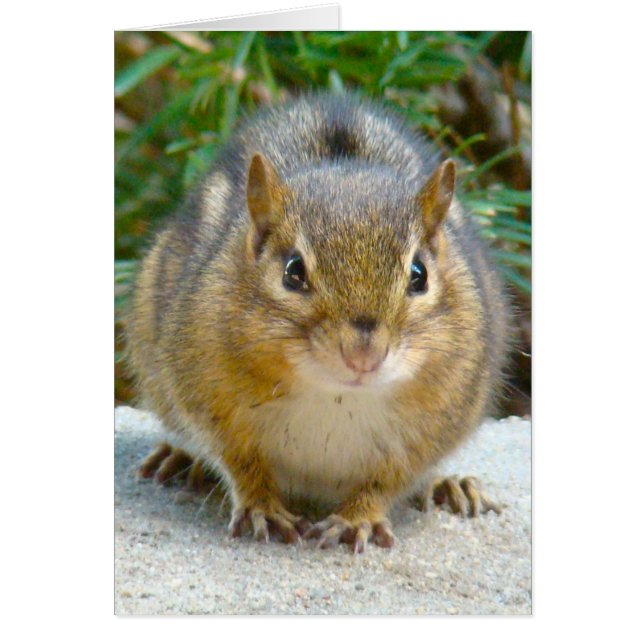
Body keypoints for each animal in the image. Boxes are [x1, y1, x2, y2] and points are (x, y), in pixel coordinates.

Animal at [126, 94, 512, 553]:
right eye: (293, 271)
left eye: (419, 274)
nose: (363, 356)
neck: (336, 396)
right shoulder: (208, 397)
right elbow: (240, 462)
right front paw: (262, 507)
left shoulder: (435, 424)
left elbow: (387, 480)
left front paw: (357, 518)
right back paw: (180, 459)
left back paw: (450, 486)